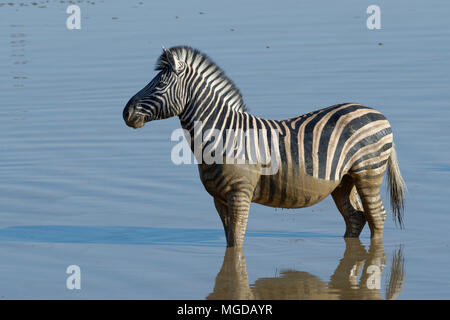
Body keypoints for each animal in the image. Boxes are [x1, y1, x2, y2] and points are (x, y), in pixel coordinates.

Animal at [121, 45, 406, 248]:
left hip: (368, 173)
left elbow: (236, 244)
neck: (222, 135)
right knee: (357, 218)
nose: (126, 112)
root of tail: (378, 113)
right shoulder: (218, 198)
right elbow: (230, 240)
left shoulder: (240, 194)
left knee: (377, 217)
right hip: (344, 181)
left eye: (159, 84)